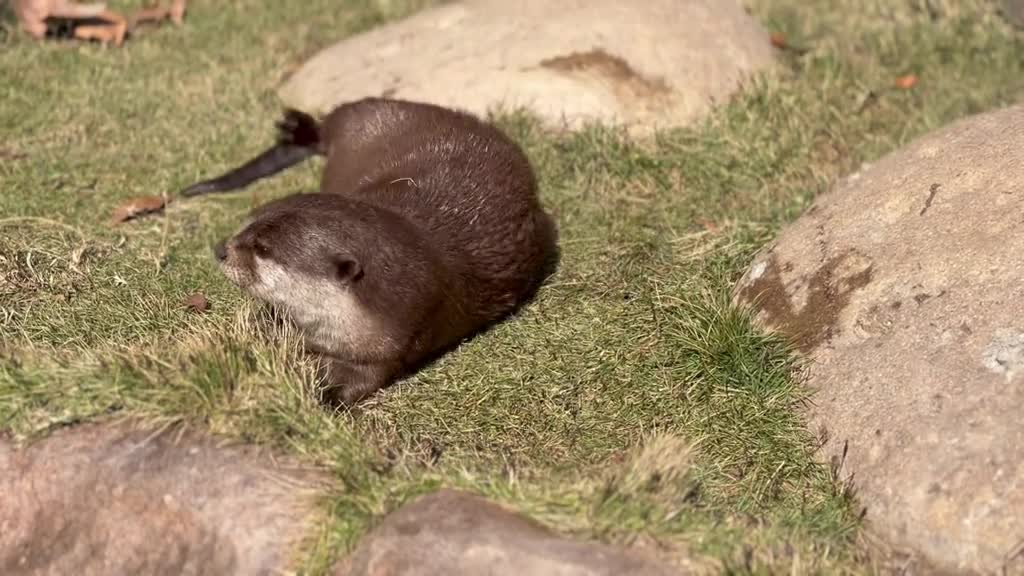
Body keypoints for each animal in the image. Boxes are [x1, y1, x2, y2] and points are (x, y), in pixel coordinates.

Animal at [188, 98, 565, 403]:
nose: (222, 249)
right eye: (247, 224)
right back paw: (298, 128)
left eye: (262, 247)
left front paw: (318, 396)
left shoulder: (397, 339)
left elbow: (360, 382)